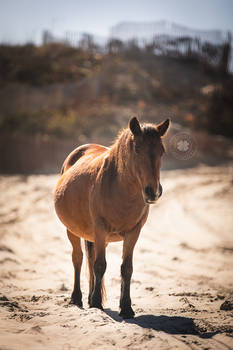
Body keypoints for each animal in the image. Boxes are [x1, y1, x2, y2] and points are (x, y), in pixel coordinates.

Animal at [54, 116, 171, 318]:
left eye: (161, 151)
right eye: (137, 149)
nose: (153, 192)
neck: (120, 188)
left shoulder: (133, 233)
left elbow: (126, 268)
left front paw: (126, 307)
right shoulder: (100, 229)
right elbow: (100, 265)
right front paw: (96, 303)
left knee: (90, 260)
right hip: (73, 231)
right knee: (78, 259)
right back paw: (77, 298)